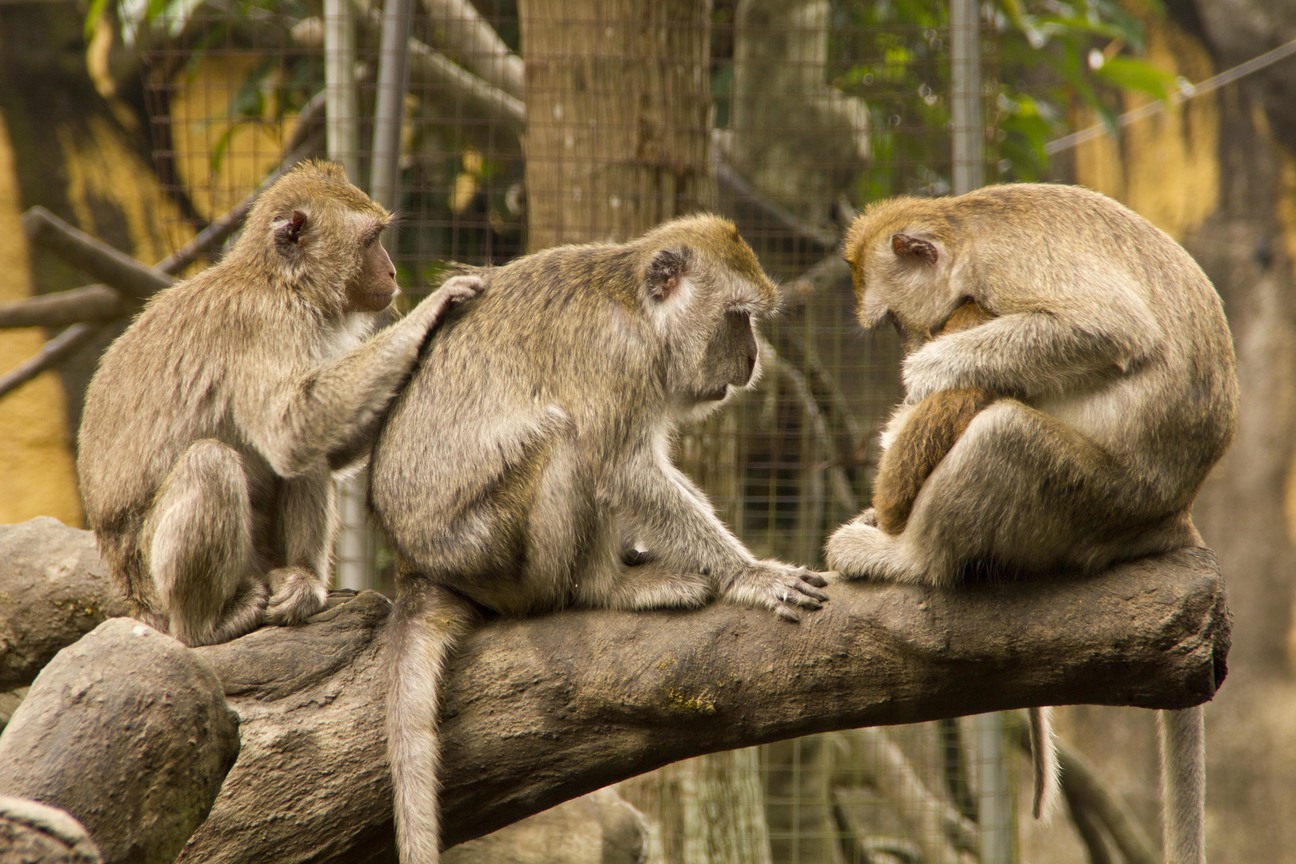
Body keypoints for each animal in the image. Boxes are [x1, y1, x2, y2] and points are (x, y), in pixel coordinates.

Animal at [81, 161, 487, 647]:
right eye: (371, 240)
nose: (392, 273)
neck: (285, 284)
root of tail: (132, 597)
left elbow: (320, 445)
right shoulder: (263, 325)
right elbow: (290, 429)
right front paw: (434, 308)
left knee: (305, 461)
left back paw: (300, 581)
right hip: (154, 585)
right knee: (212, 462)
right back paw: (207, 623)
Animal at [370, 215, 824, 864]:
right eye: (737, 316)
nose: (751, 359)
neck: (638, 307)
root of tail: (416, 564)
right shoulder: (620, 358)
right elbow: (623, 470)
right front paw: (749, 575)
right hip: (492, 553)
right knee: (569, 439)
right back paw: (605, 587)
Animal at [824, 183, 1238, 864]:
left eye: (894, 323)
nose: (913, 342)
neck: (964, 228)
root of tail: (1169, 511)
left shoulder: (1004, 268)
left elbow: (1107, 328)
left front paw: (927, 370)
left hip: (1088, 502)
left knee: (1003, 434)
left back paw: (907, 557)